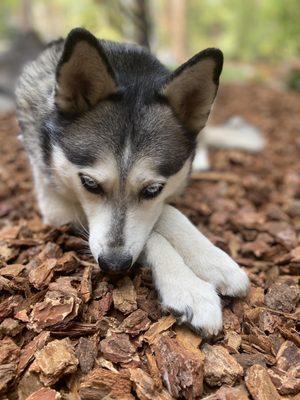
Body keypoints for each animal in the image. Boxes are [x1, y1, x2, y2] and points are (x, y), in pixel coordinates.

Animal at [16, 27, 251, 338]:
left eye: (152, 189)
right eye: (89, 184)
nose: (114, 265)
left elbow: (167, 213)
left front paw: (213, 259)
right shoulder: (58, 208)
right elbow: (152, 233)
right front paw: (189, 288)